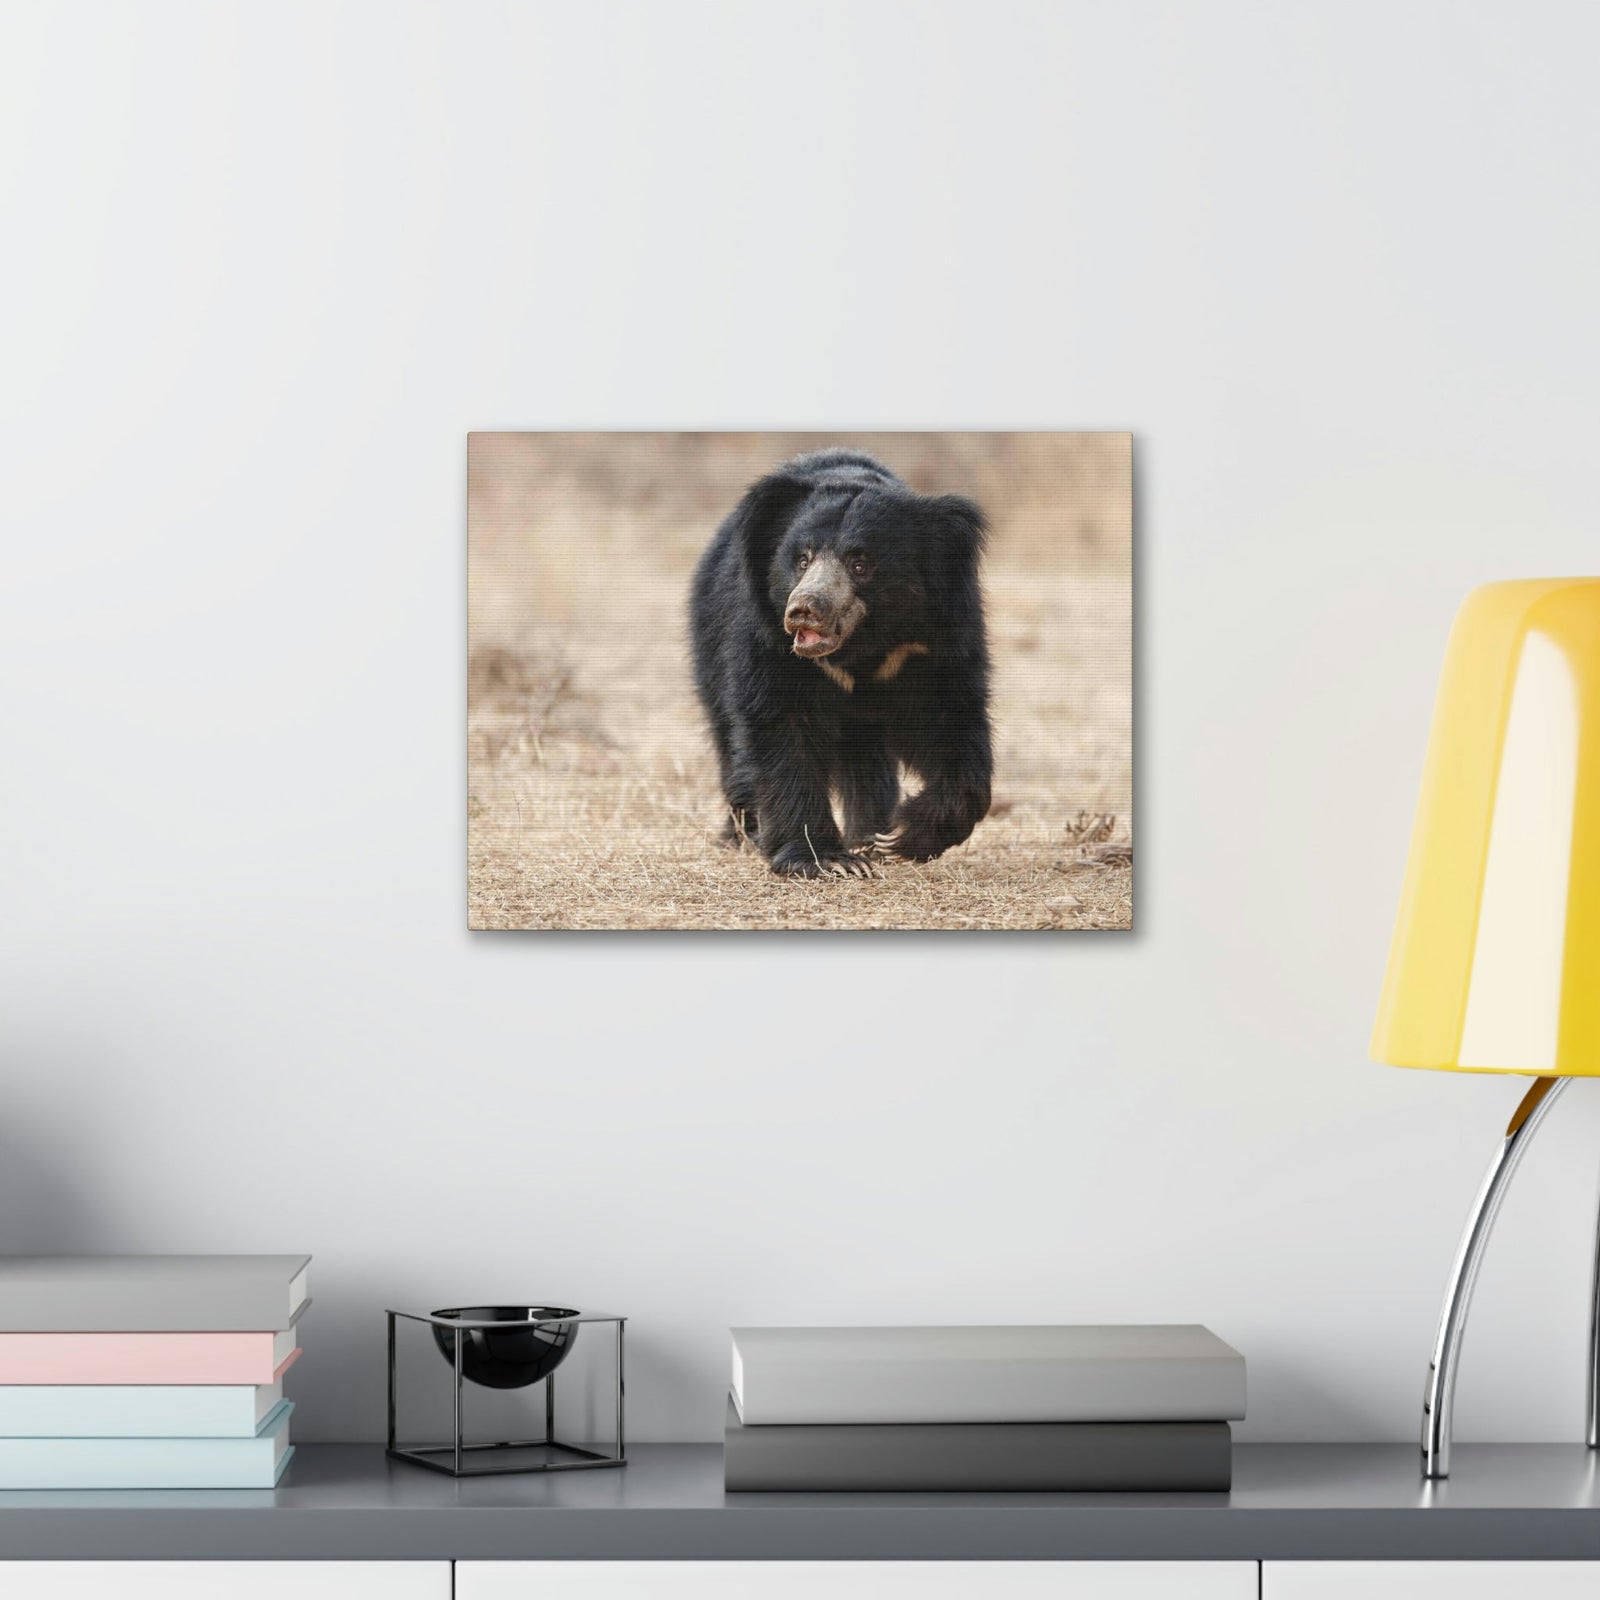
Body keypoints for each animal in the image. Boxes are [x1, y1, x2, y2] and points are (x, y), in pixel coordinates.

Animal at [689, 448, 992, 878]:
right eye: (802, 559)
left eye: (859, 564)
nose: (804, 610)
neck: (860, 648)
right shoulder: (767, 641)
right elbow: (780, 728)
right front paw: (828, 860)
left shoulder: (933, 643)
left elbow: (951, 721)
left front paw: (898, 836)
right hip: (709, 646)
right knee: (728, 740)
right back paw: (743, 834)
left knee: (867, 762)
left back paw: (868, 834)